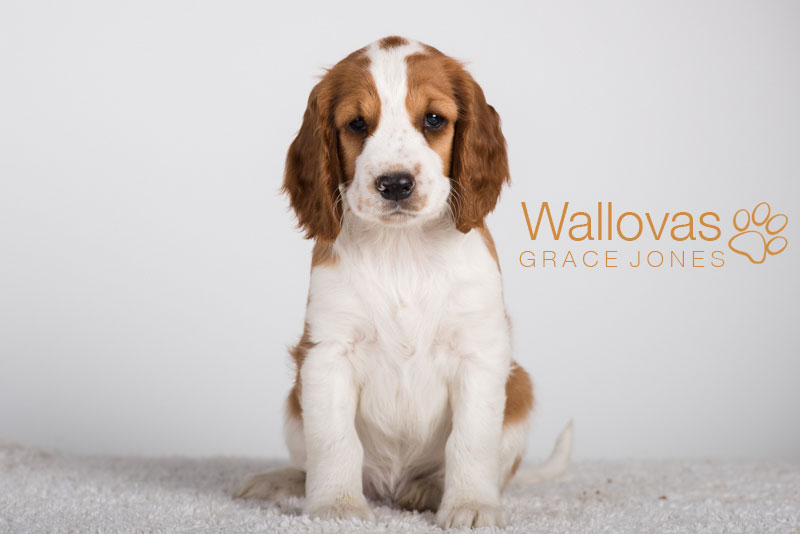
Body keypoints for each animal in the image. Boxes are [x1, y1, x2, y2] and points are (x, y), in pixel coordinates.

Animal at [236, 36, 572, 529]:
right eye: (357, 123)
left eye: (433, 119)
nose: (395, 184)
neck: (403, 250)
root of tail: (391, 488)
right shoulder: (327, 352)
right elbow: (334, 441)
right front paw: (337, 506)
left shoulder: (479, 353)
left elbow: (470, 440)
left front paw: (470, 504)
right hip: (293, 405)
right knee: (310, 460)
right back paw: (282, 481)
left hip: (520, 392)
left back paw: (428, 488)